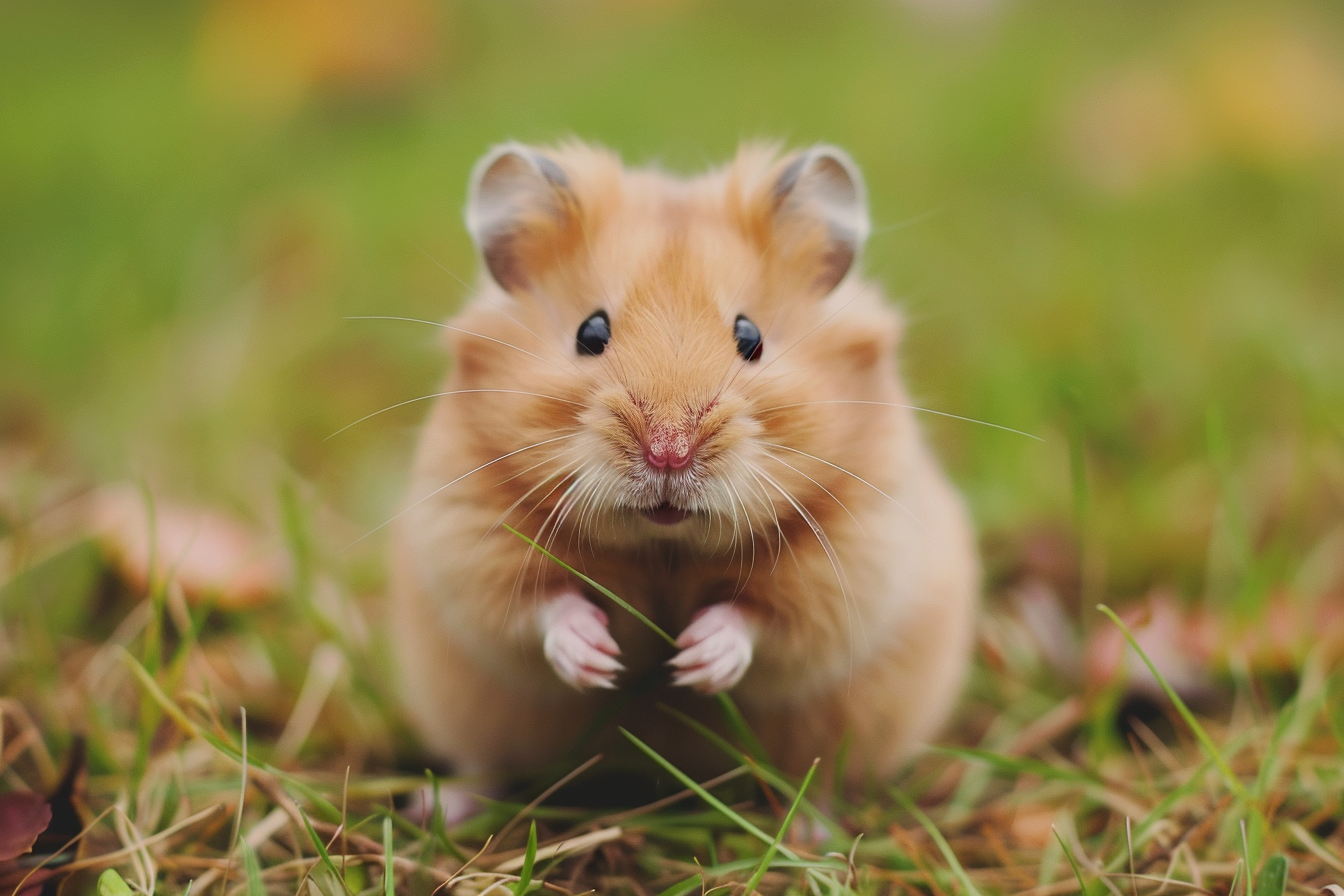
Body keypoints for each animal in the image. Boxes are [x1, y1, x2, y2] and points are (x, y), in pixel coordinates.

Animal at [389, 140, 978, 790]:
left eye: (750, 336)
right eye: (589, 332)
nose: (668, 452)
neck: (664, 548)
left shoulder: (853, 558)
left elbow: (766, 622)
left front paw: (692, 661)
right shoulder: (469, 540)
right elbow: (535, 608)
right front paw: (600, 659)